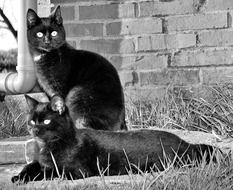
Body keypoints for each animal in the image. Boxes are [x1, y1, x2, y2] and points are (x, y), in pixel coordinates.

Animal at [10, 95, 215, 183]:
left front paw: (26, 179)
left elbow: (50, 172)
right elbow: (31, 166)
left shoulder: (77, 172)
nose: (34, 129)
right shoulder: (40, 162)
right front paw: (18, 177)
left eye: (45, 121)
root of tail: (186, 143)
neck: (49, 146)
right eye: (31, 121)